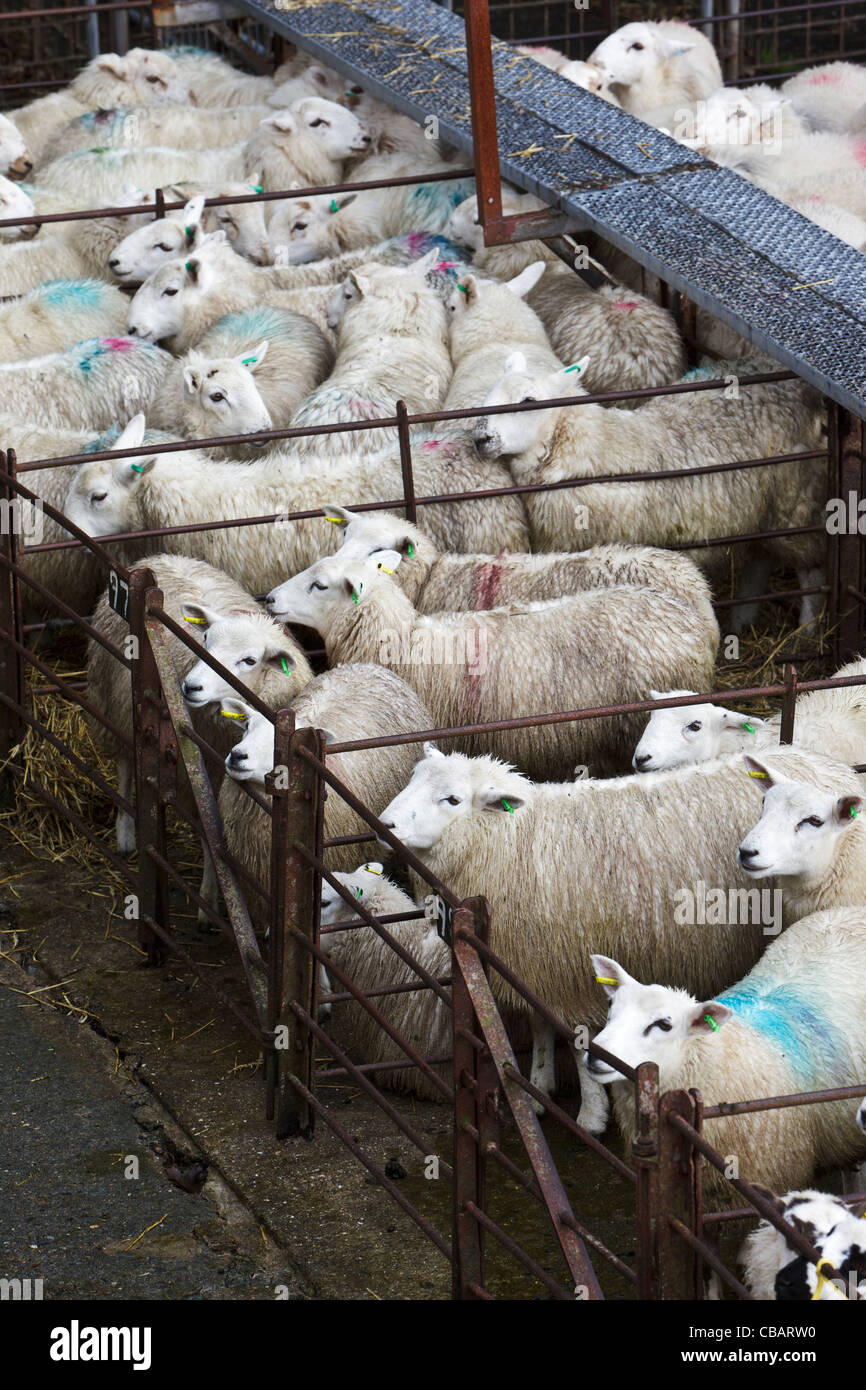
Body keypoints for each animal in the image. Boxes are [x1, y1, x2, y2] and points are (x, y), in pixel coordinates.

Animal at [86, 551, 312, 863]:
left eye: (250, 660)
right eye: (205, 640)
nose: (191, 686)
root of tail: (160, 557)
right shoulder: (195, 777)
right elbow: (209, 838)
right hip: (111, 696)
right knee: (125, 764)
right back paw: (126, 832)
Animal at [472, 352, 827, 624]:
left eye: (528, 401)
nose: (481, 438)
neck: (590, 446)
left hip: (796, 503)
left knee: (810, 572)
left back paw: (807, 630)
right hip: (763, 509)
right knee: (761, 558)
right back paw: (743, 619)